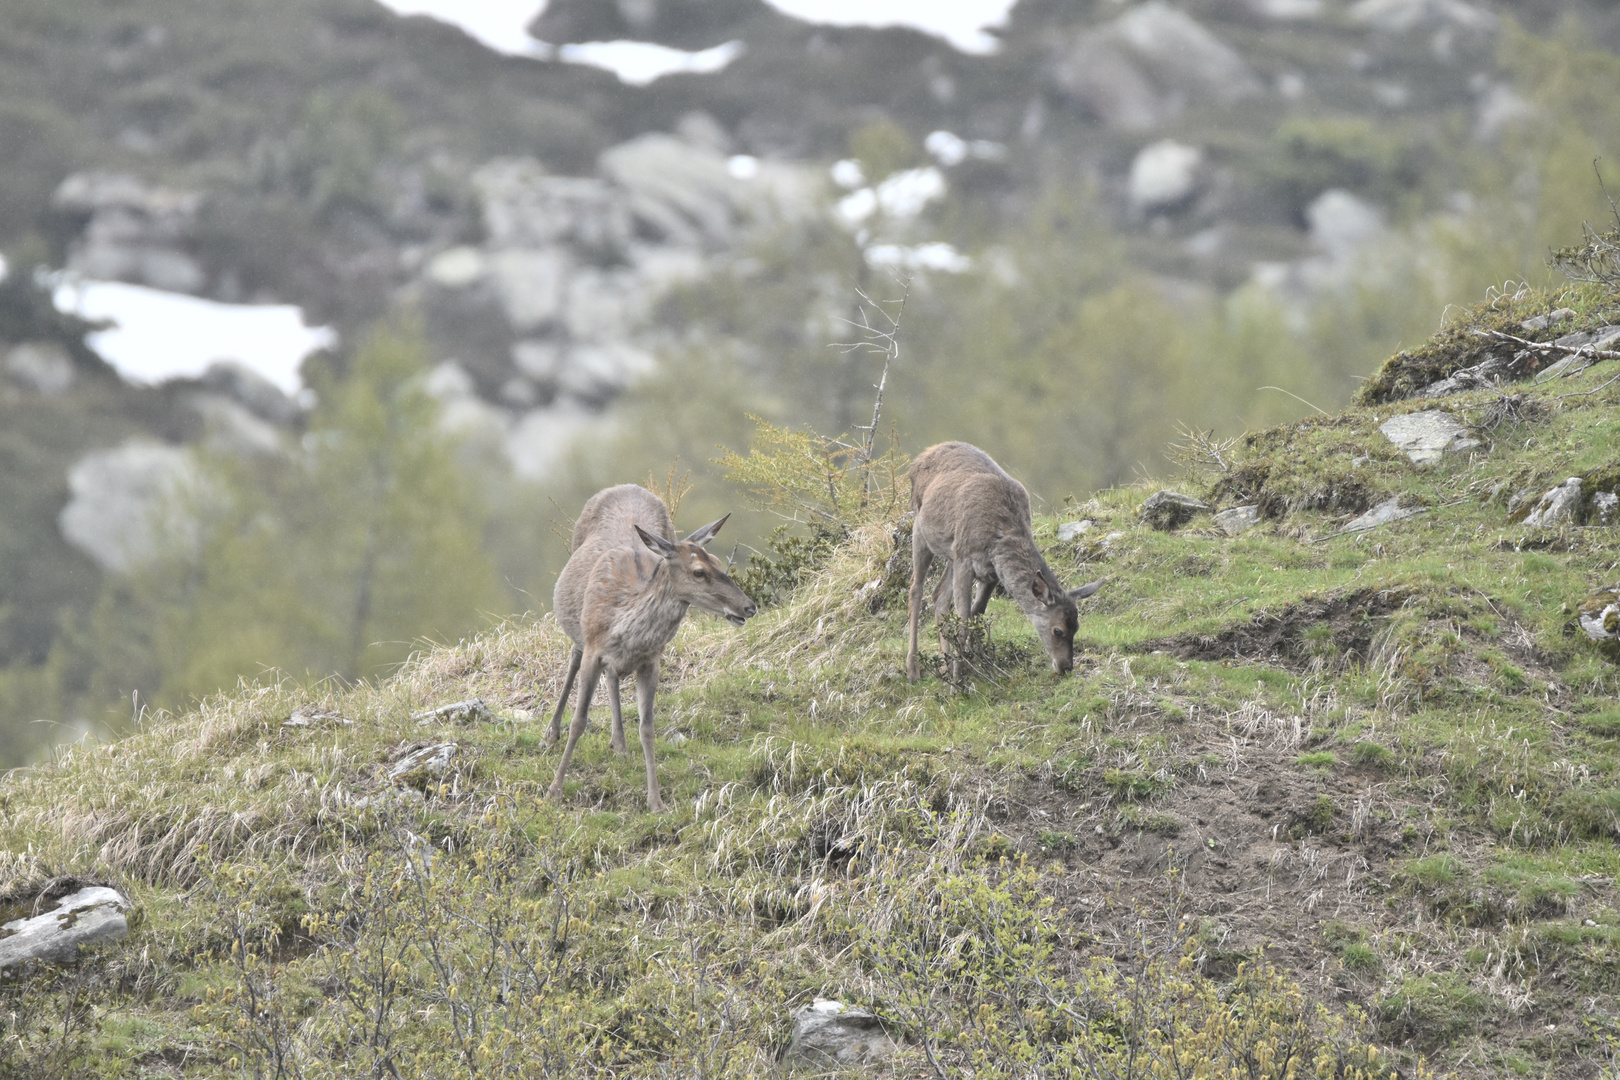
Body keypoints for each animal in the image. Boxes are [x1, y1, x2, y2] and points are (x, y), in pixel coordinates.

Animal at [537, 488, 751, 809]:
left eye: (716, 559)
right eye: (698, 572)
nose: (749, 606)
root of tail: (627, 485)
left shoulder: (652, 660)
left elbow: (647, 728)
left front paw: (656, 801)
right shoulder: (594, 648)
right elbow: (579, 721)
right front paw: (554, 791)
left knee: (612, 675)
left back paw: (619, 742)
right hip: (577, 624)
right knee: (574, 655)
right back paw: (552, 732)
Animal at [907, 440, 1108, 683]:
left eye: (1077, 627)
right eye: (1058, 630)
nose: (1066, 667)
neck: (1000, 534)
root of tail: (919, 459)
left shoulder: (991, 571)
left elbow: (976, 614)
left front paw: (972, 665)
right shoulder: (965, 557)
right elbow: (963, 621)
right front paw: (958, 682)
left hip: (949, 551)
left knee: (938, 596)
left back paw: (944, 665)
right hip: (920, 527)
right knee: (915, 588)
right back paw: (913, 668)